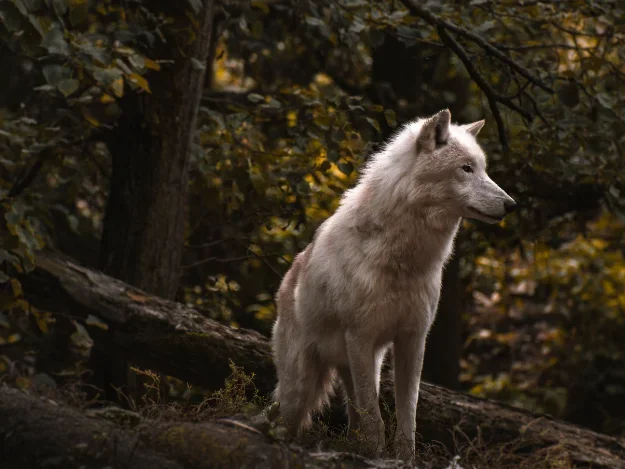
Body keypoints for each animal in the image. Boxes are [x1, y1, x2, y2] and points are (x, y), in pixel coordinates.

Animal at [272, 109, 516, 458]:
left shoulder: (413, 339)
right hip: (302, 385)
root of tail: (285, 283)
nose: (511, 205)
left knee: (353, 415)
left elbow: (407, 414)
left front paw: (403, 457)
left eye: (482, 168)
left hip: (362, 366)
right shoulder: (359, 336)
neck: (404, 261)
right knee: (290, 417)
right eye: (466, 168)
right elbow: (374, 418)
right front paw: (377, 454)